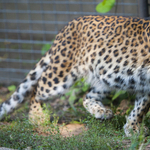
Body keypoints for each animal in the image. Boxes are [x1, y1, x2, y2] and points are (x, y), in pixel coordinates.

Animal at [0, 15, 150, 137]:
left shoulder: (145, 86)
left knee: (87, 96)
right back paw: (36, 118)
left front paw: (132, 128)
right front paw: (134, 129)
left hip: (108, 78)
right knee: (37, 89)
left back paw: (100, 110)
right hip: (60, 75)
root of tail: (68, 26)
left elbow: (140, 108)